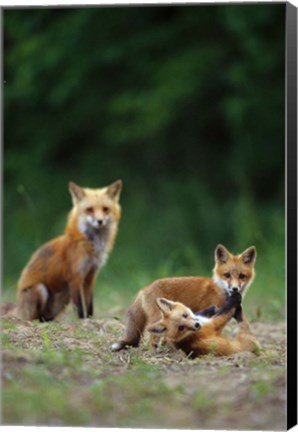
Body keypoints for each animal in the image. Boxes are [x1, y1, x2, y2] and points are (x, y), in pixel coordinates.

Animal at [14, 179, 122, 320]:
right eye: (89, 210)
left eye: (105, 209)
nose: (100, 221)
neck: (90, 246)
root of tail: (18, 309)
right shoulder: (75, 277)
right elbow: (80, 306)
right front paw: (83, 321)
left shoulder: (90, 275)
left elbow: (89, 304)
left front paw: (90, 319)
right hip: (41, 289)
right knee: (36, 317)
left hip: (64, 296)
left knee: (47, 316)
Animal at [110, 243, 255, 352]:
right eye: (227, 275)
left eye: (242, 276)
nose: (235, 289)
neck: (221, 290)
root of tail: (143, 289)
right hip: (158, 318)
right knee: (152, 339)